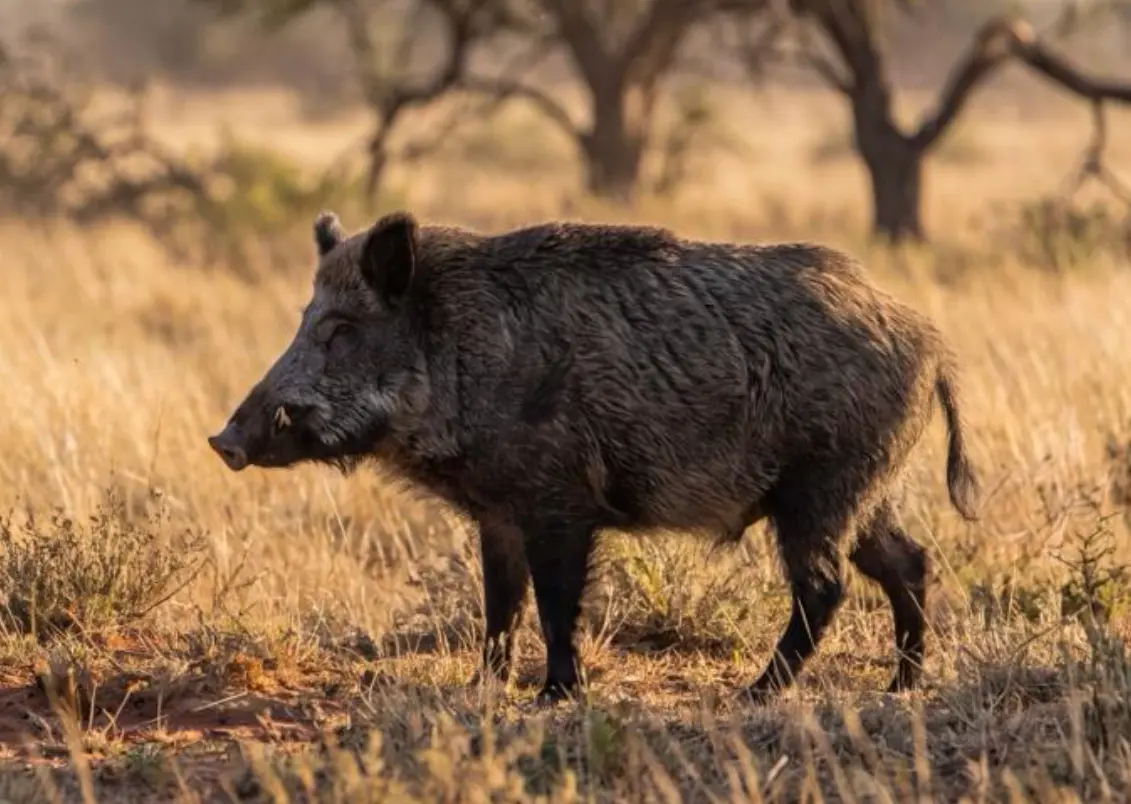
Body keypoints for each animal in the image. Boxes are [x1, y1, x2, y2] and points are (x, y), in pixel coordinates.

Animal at [208, 209, 981, 703]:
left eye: (341, 328)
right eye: (304, 320)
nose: (225, 441)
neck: (460, 350)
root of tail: (931, 342)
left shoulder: (559, 502)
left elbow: (555, 602)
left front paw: (554, 697)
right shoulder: (497, 514)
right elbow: (499, 603)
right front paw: (481, 689)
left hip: (821, 485)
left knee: (824, 586)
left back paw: (754, 695)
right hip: (863, 488)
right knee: (908, 560)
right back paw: (900, 686)